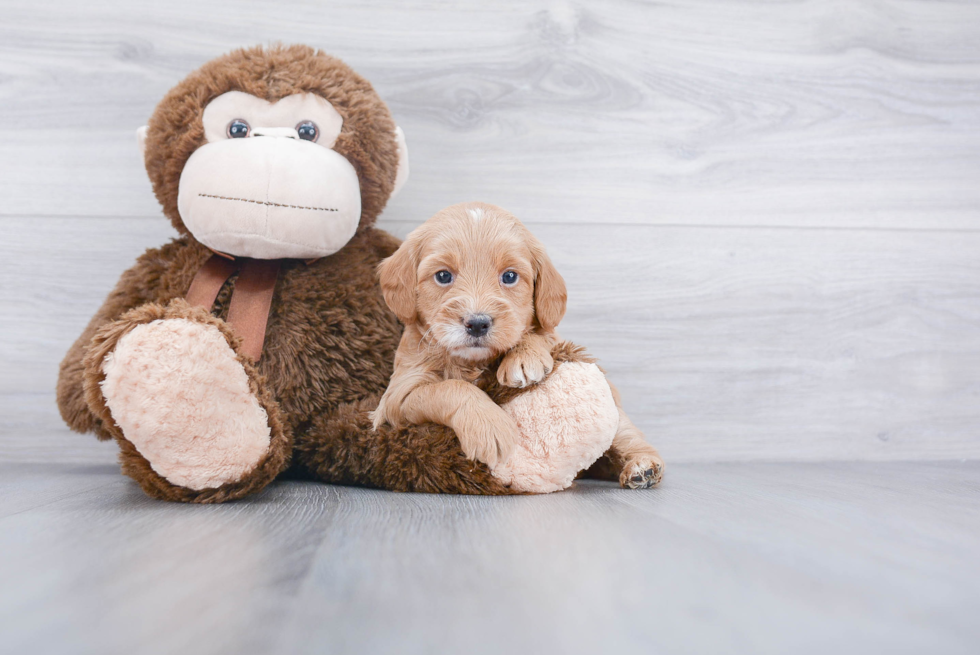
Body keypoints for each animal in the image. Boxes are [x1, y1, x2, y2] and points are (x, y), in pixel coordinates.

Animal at [372, 202, 664, 490]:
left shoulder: (551, 334)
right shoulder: (398, 396)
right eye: (443, 276)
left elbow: (539, 333)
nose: (477, 323)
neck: (473, 361)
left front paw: (524, 357)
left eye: (510, 276)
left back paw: (642, 467)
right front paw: (490, 427)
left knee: (627, 435)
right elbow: (450, 388)